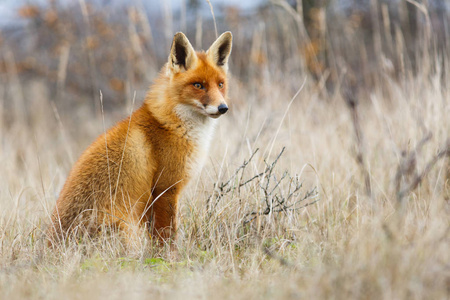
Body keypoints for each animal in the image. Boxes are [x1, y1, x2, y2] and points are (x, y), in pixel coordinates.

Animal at [48, 31, 232, 245]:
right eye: (198, 85)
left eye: (220, 84)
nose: (223, 108)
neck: (172, 124)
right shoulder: (164, 190)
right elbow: (166, 237)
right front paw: (169, 254)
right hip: (127, 228)